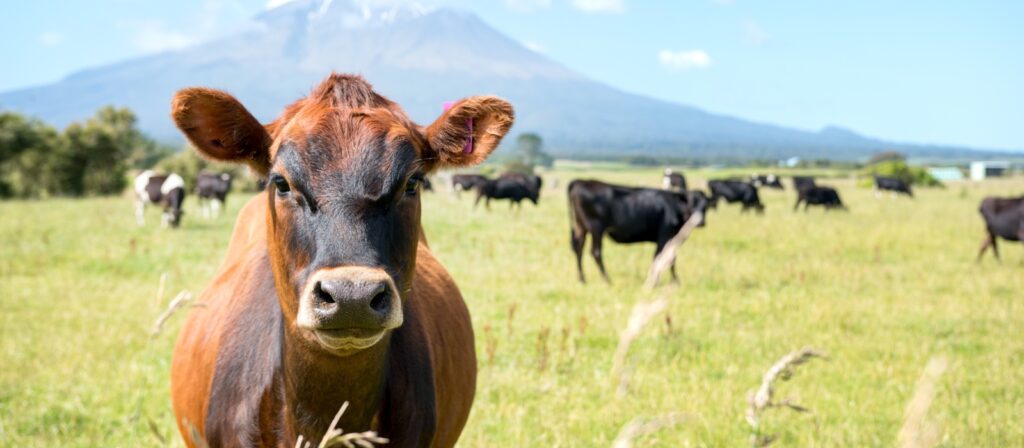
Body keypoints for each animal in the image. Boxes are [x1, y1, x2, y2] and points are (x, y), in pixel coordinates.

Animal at [568, 179, 706, 284]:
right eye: (691, 202)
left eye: (705, 206)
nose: (700, 221)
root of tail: (581, 181)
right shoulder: (665, 237)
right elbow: (663, 258)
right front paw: (663, 281)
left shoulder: (673, 239)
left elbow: (669, 258)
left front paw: (673, 281)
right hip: (596, 228)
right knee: (595, 252)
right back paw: (607, 280)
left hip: (581, 228)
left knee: (579, 249)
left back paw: (582, 279)